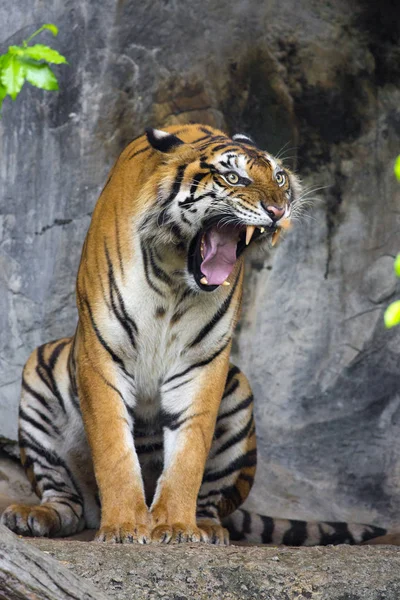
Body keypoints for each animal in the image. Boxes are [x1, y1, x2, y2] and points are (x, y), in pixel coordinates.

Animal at [1, 124, 396, 548]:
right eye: (233, 178)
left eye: (279, 179)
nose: (278, 211)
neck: (175, 277)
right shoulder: (101, 352)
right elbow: (114, 450)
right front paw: (124, 526)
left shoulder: (202, 363)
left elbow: (189, 452)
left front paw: (175, 526)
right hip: (40, 379)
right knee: (67, 501)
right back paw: (34, 516)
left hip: (239, 394)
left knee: (212, 502)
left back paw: (205, 527)